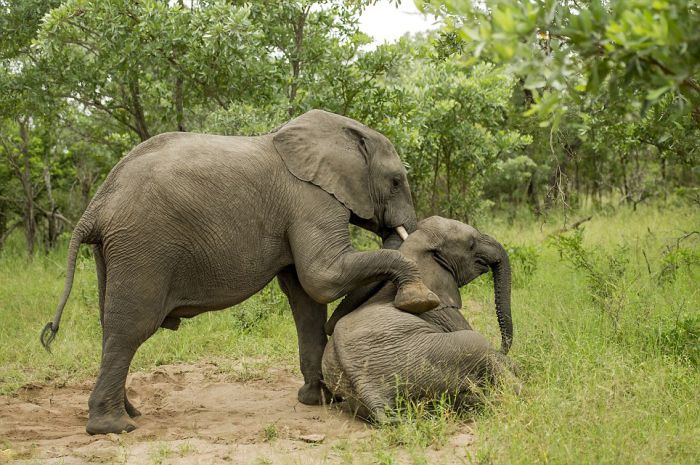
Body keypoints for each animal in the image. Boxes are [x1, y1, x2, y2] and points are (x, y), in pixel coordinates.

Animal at [39, 109, 438, 436]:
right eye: (396, 181)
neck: (341, 133)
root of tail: (97, 206)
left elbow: (306, 299)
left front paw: (319, 401)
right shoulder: (310, 200)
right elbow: (322, 278)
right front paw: (420, 300)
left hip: (113, 251)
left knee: (110, 327)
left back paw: (130, 413)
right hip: (142, 245)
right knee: (130, 329)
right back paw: (114, 428)